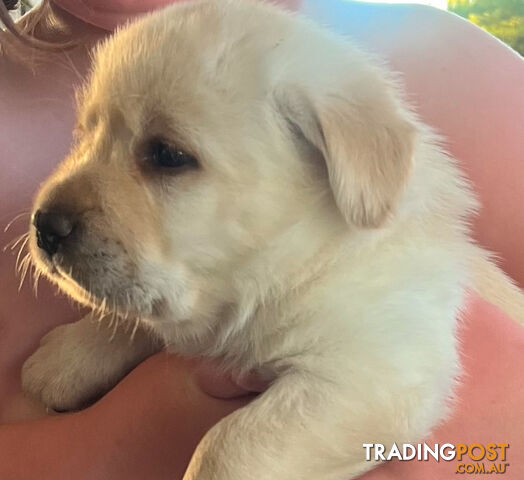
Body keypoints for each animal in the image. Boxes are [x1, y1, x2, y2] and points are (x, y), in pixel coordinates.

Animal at [25, 0, 484, 480]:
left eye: (168, 155)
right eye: (83, 135)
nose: (44, 226)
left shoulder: (372, 373)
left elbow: (228, 447)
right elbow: (142, 319)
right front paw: (66, 358)